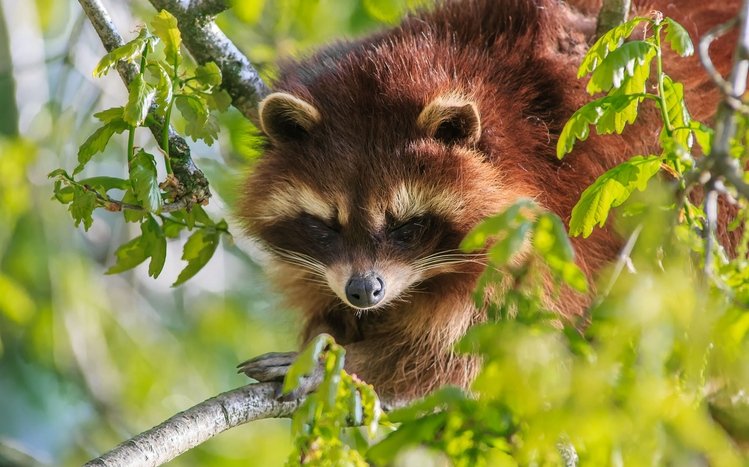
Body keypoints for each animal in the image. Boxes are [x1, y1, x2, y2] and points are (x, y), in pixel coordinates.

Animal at [237, 0, 740, 402]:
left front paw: (341, 362)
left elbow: (475, 348)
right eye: (327, 226)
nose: (363, 291)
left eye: (407, 226)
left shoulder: (562, 210)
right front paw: (332, 336)